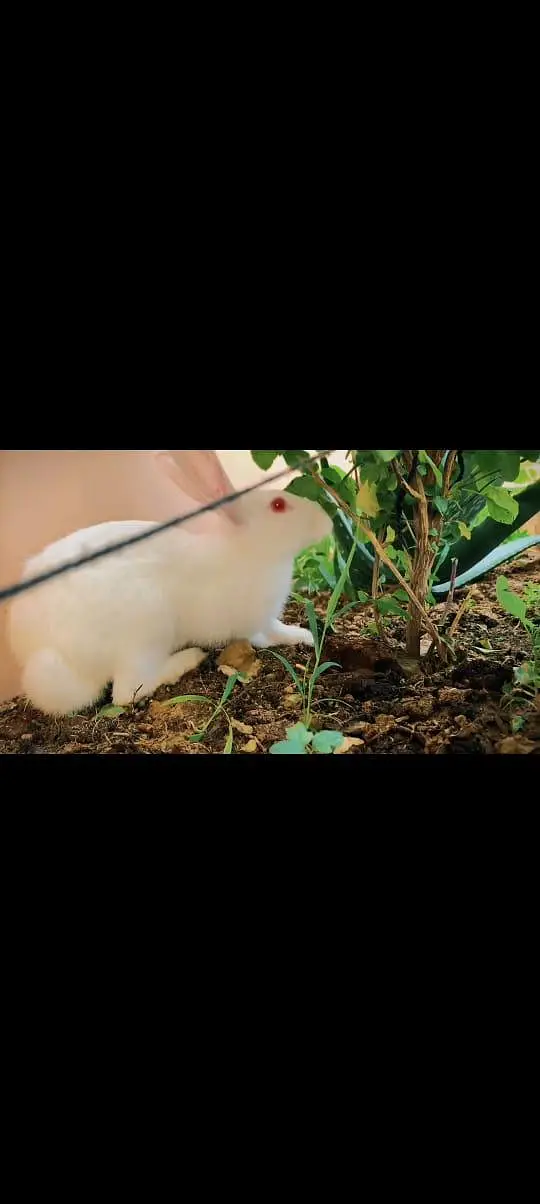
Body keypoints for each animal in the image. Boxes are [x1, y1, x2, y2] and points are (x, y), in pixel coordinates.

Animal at [8, 488, 332, 716]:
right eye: (278, 505)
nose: (327, 520)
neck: (248, 550)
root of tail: (36, 648)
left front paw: (304, 635)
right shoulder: (252, 621)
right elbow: (267, 636)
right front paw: (301, 636)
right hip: (146, 627)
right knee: (127, 691)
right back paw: (189, 659)